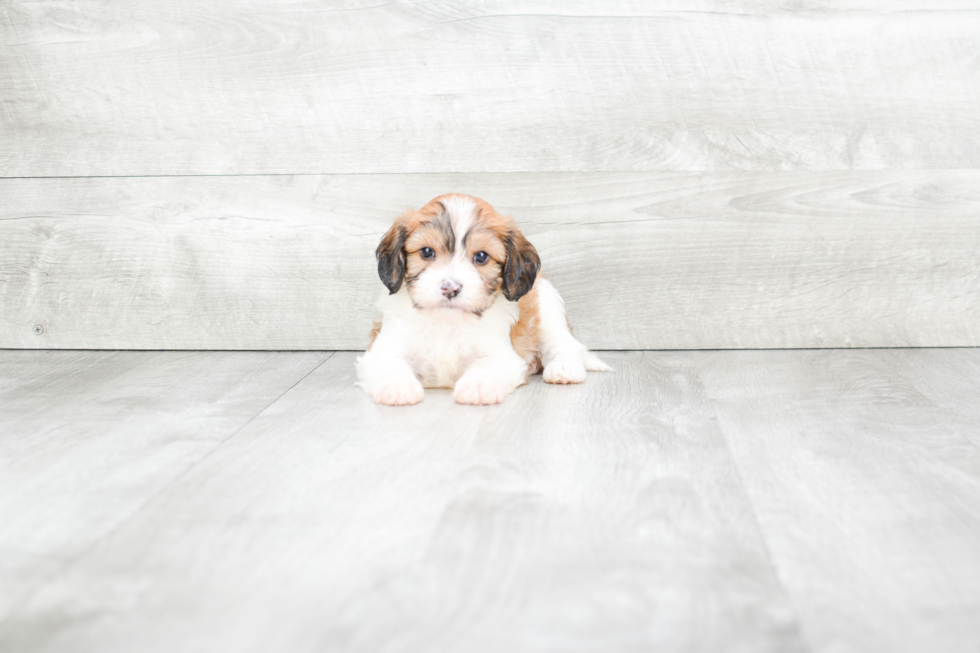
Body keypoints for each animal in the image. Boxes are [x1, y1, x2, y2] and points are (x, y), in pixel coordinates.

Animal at [356, 194, 608, 404]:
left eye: (481, 256)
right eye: (426, 252)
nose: (450, 288)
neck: (446, 323)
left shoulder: (501, 353)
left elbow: (486, 365)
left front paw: (477, 386)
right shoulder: (385, 347)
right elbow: (390, 363)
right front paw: (397, 387)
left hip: (547, 310)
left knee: (564, 344)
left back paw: (564, 368)